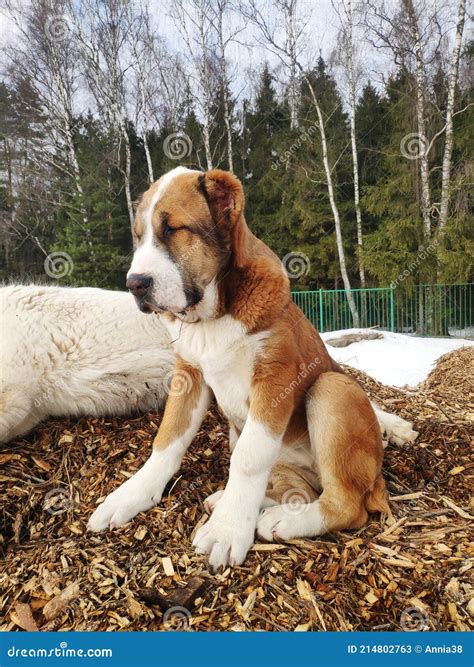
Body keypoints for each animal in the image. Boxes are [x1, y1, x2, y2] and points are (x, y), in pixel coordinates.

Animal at [89, 166, 414, 568]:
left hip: (333, 388)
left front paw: (227, 531)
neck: (214, 314)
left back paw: (281, 520)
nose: (134, 284)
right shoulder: (188, 376)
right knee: (302, 489)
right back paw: (241, 502)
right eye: (138, 237)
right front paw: (130, 494)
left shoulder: (274, 377)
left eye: (174, 229)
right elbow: (168, 439)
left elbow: (248, 457)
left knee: (347, 504)